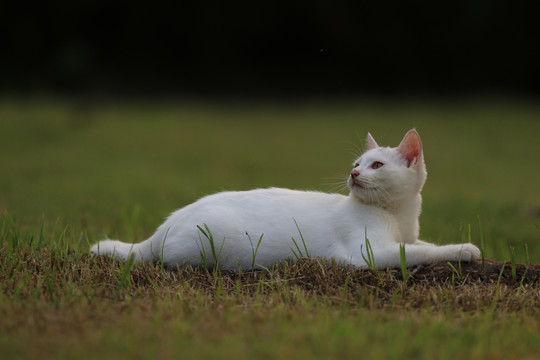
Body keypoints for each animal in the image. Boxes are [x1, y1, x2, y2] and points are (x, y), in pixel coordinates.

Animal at [90, 129, 478, 270]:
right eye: (356, 164)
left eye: (377, 165)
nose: (353, 175)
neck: (398, 214)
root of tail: (158, 233)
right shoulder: (369, 253)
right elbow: (422, 252)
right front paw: (466, 249)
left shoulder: (407, 235)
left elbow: (422, 244)